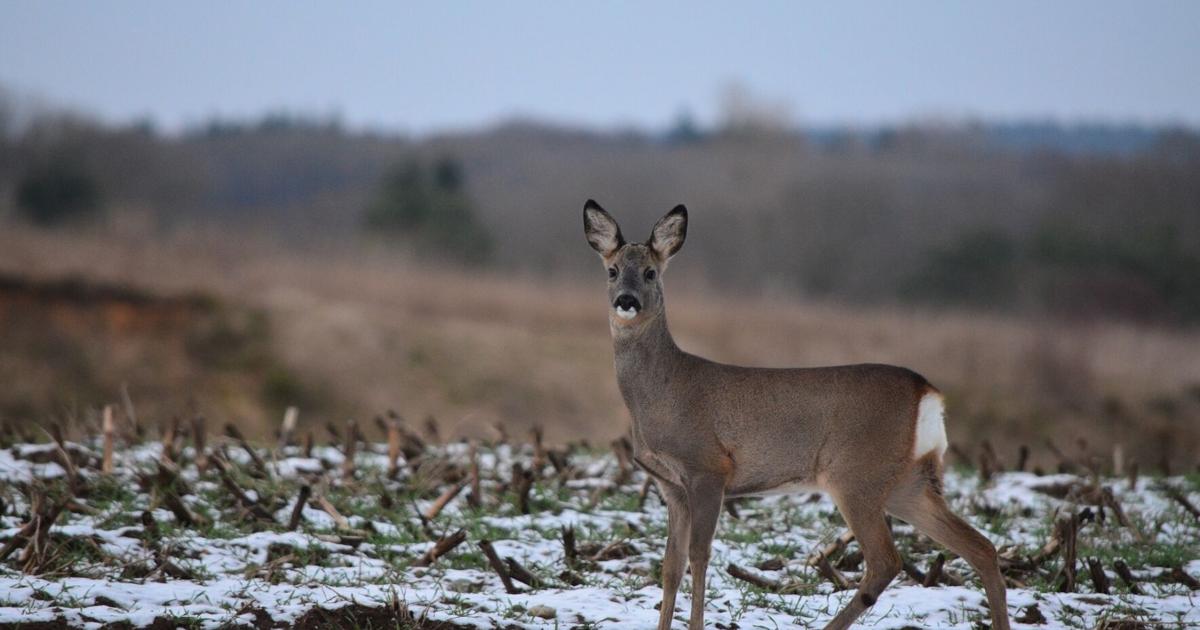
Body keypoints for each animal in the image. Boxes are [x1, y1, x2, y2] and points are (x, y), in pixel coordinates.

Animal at [583, 200, 1010, 630]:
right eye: (612, 271)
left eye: (651, 272)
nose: (626, 300)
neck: (662, 392)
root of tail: (927, 392)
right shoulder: (670, 484)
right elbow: (671, 564)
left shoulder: (708, 467)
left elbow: (699, 556)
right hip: (908, 481)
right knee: (981, 547)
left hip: (856, 474)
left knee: (887, 561)